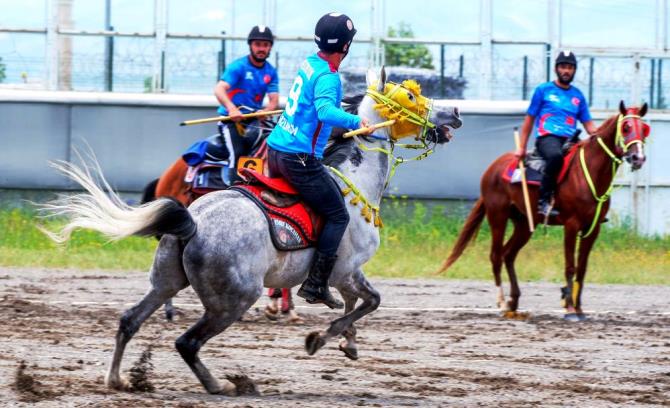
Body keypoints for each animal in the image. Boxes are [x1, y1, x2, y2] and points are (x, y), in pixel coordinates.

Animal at [42, 67, 462, 396]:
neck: (353, 182)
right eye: (411, 94)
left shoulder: (346, 273)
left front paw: (348, 343)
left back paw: (116, 380)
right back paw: (222, 385)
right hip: (234, 299)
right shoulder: (344, 270)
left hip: (165, 280)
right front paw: (321, 339)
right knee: (187, 342)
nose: (455, 111)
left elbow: (356, 304)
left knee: (130, 319)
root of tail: (193, 222)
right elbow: (368, 301)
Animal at [440, 100, 652, 320]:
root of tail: (492, 168)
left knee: (508, 255)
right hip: (497, 216)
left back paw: (513, 302)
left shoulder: (592, 229)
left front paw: (579, 308)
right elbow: (570, 266)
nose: (638, 157)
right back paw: (502, 303)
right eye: (626, 127)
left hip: (524, 224)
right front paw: (570, 309)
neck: (589, 174)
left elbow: (582, 268)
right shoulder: (571, 225)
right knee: (496, 256)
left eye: (645, 128)